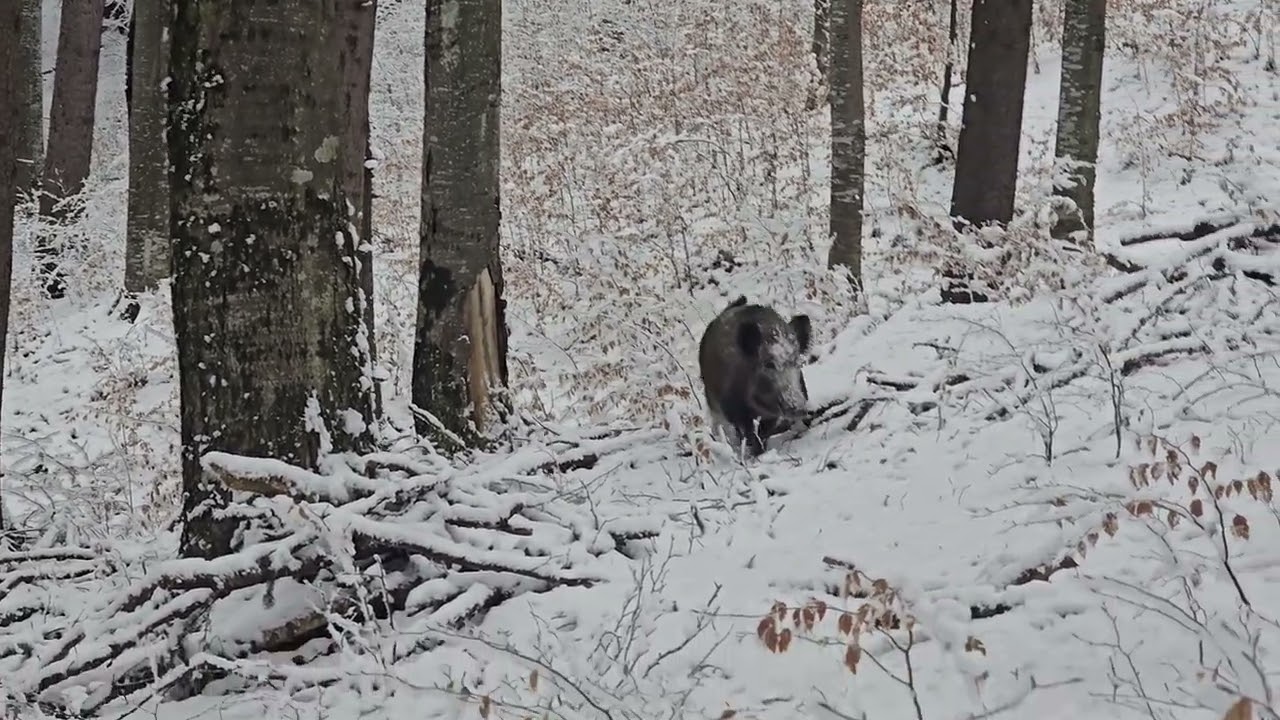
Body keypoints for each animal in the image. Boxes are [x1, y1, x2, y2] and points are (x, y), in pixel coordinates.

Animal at [698, 296, 812, 457]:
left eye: (797, 362)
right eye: (768, 364)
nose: (800, 407)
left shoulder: (771, 415)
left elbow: (763, 432)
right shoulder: (732, 408)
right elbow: (748, 432)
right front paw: (754, 452)